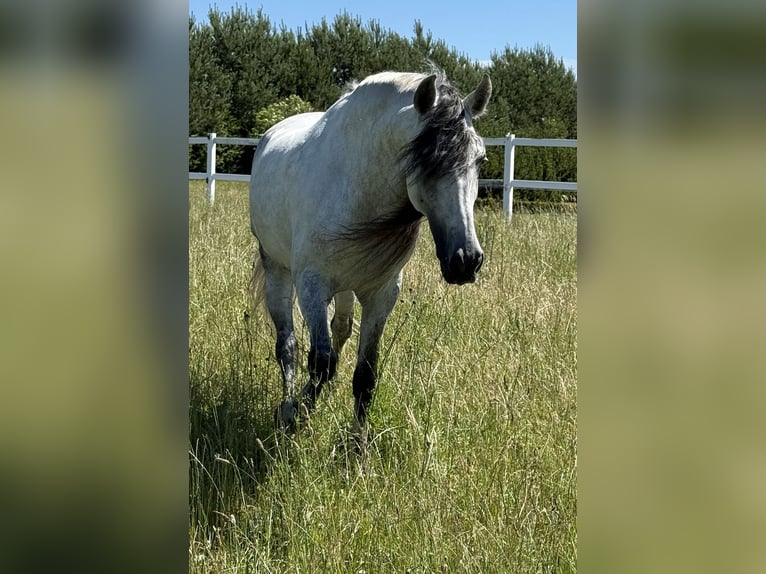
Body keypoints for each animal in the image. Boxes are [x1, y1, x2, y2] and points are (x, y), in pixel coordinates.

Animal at [249, 69, 492, 442]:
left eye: (480, 160)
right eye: (427, 160)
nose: (466, 261)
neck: (358, 189)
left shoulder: (381, 294)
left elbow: (365, 374)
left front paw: (357, 444)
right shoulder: (311, 286)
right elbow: (320, 363)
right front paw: (295, 413)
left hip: (347, 286)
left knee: (339, 330)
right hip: (278, 271)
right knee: (287, 345)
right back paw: (290, 399)